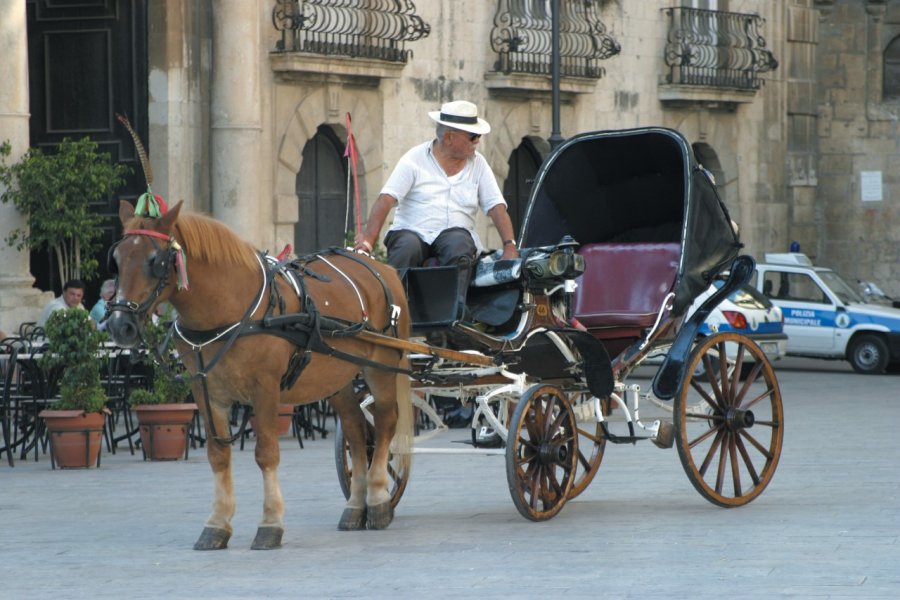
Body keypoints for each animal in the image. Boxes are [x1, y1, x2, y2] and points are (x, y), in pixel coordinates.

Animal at [107, 200, 414, 548]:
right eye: (116, 260)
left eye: (155, 261)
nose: (120, 326)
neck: (229, 308)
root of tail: (381, 267)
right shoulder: (207, 392)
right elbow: (218, 455)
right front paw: (217, 523)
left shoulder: (265, 389)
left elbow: (266, 453)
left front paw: (270, 523)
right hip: (338, 378)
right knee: (355, 430)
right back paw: (355, 506)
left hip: (381, 367)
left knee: (386, 422)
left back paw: (377, 500)